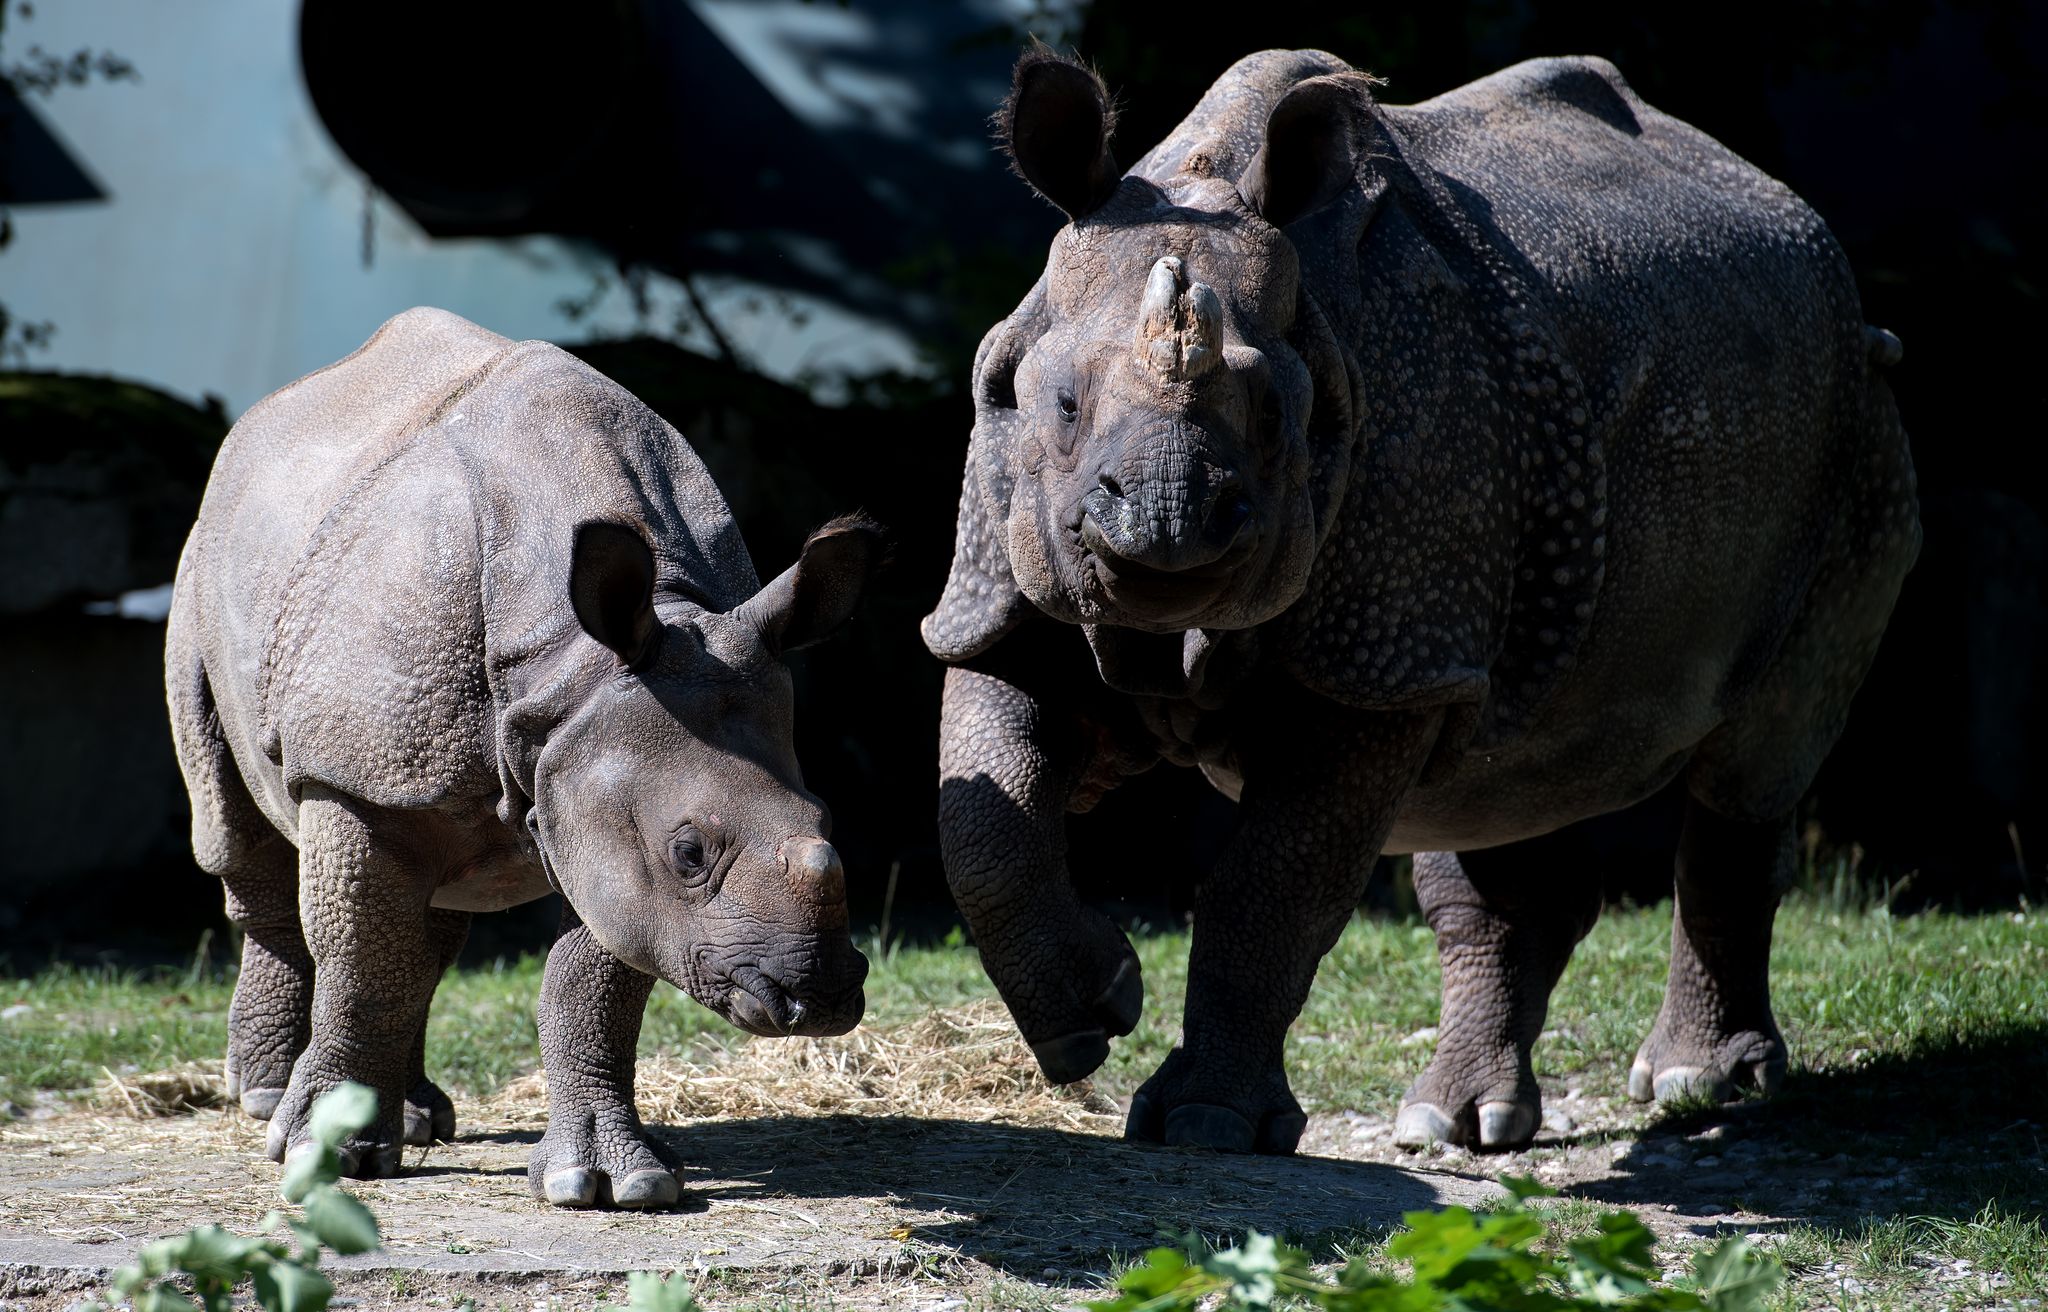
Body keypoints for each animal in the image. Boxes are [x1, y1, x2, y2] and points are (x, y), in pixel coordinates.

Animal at [169, 307, 880, 1211]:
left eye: (826, 818)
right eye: (690, 852)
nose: (818, 995)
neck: (571, 668)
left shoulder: (593, 795)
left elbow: (593, 979)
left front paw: (612, 1183)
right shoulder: (363, 779)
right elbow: (363, 962)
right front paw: (323, 1156)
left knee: (427, 920)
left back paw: (413, 1119)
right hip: (204, 568)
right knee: (242, 835)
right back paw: (266, 1098)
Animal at [929, 51, 1916, 1154]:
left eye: (1274, 415)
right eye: (1058, 404)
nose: (1165, 522)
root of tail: (1800, 221)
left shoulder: (1381, 658)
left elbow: (1272, 886)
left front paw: (1204, 1124)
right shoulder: (1002, 593)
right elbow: (984, 817)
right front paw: (1088, 1016)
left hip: (1853, 425)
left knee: (1754, 756)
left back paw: (1693, 1087)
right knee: (1507, 770)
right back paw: (1456, 1123)